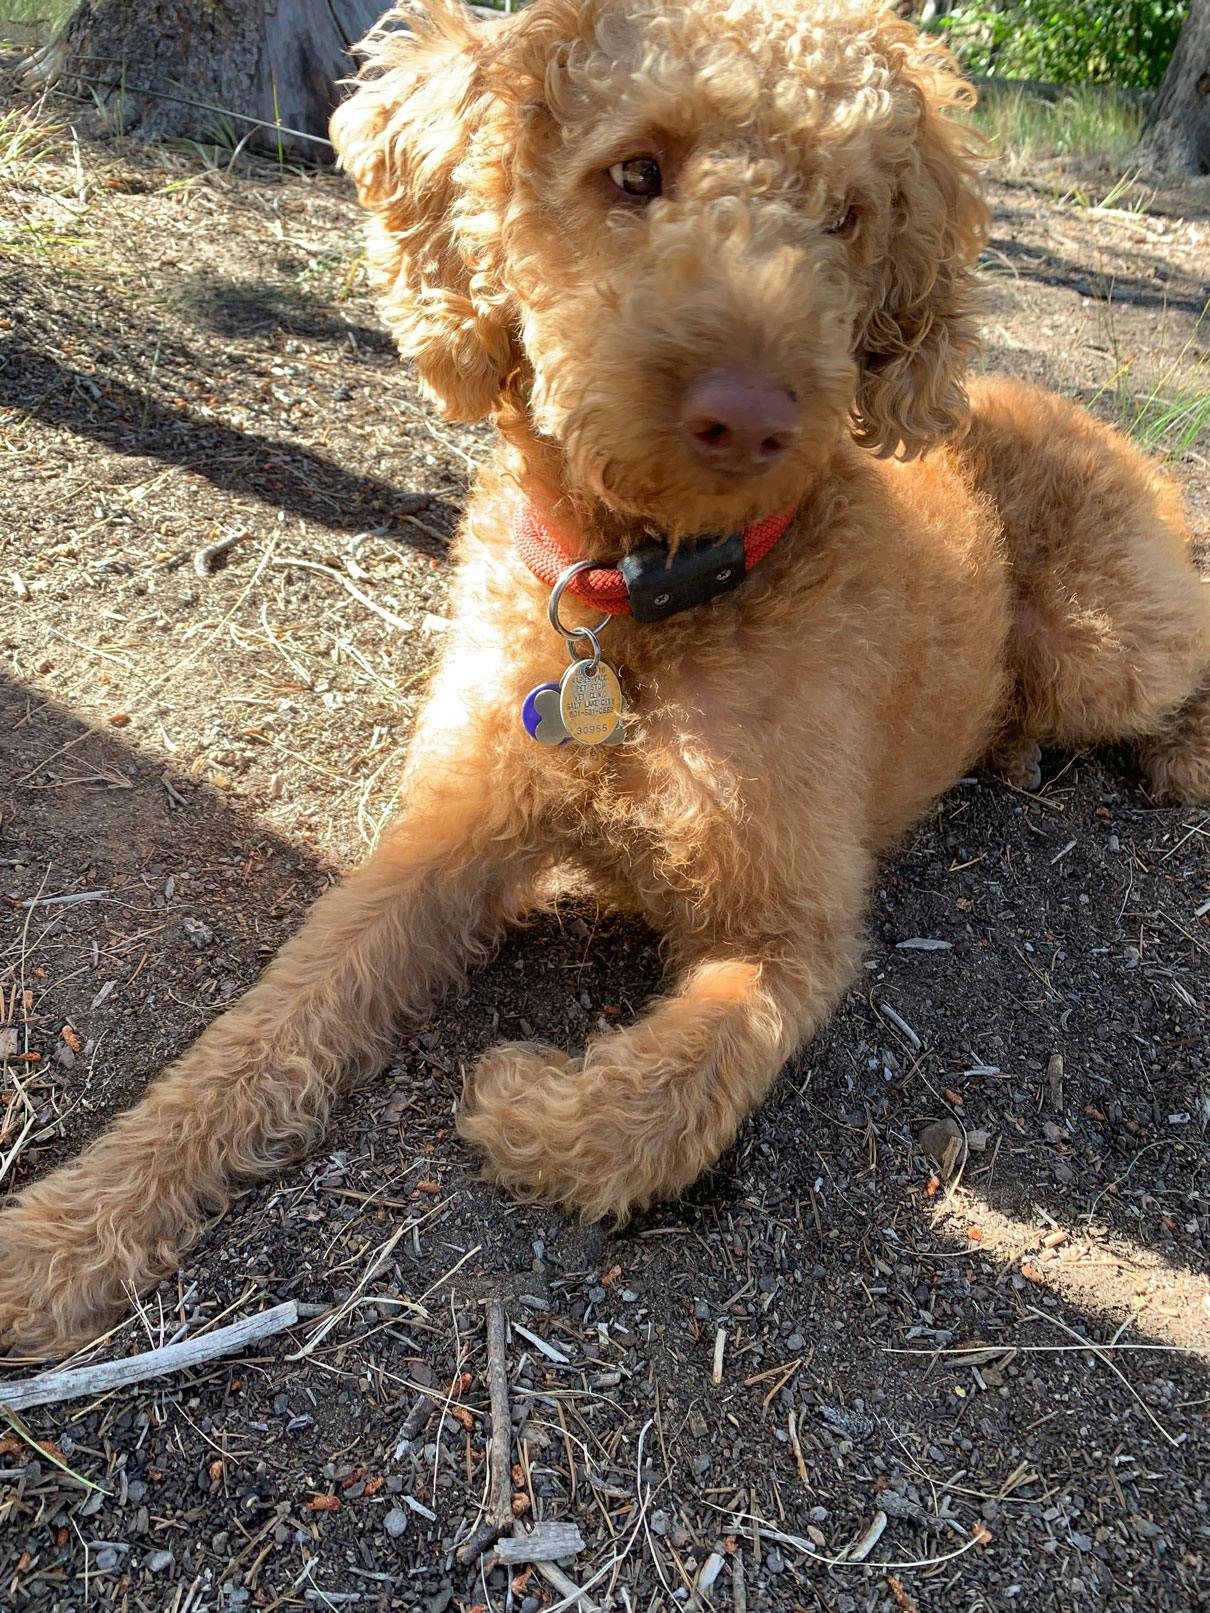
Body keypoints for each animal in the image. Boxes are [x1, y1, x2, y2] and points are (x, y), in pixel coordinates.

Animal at [2, 0, 1210, 1361]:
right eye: (634, 171)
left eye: (843, 214)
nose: (752, 414)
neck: (640, 601)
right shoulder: (443, 833)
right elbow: (260, 1033)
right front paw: (64, 1233)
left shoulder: (795, 920)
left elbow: (652, 1095)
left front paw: (523, 1097)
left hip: (1098, 641)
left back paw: (1172, 754)